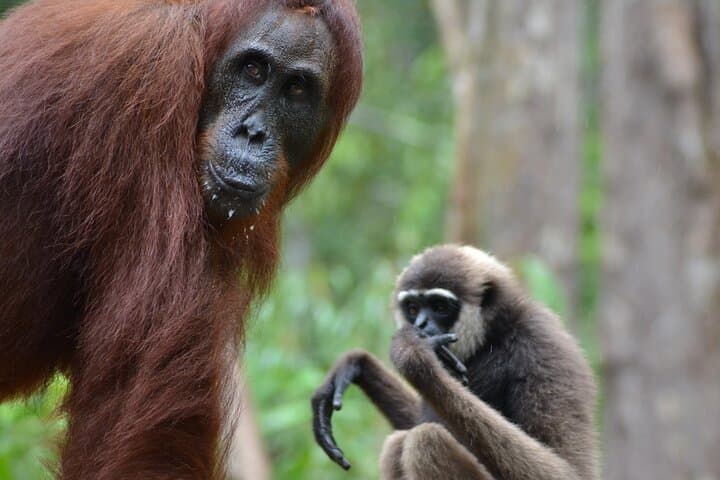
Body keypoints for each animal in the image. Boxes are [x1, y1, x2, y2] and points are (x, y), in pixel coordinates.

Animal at [312, 245, 598, 479]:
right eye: (413, 308)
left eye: (439, 306)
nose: (420, 325)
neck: (493, 337)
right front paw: (356, 364)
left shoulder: (542, 348)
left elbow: (567, 471)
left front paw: (413, 354)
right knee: (398, 444)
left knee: (424, 441)